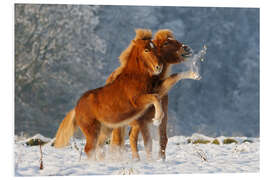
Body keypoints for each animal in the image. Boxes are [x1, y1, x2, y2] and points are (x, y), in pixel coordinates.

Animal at [53, 28, 165, 159]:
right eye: (146, 50)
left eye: (156, 48)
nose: (159, 67)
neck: (134, 78)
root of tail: (76, 108)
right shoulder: (137, 101)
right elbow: (155, 97)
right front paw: (157, 119)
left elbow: (158, 98)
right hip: (92, 130)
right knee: (89, 149)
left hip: (105, 130)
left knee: (98, 148)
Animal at [108, 29, 199, 160]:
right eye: (166, 43)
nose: (186, 48)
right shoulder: (142, 121)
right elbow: (148, 142)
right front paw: (151, 161)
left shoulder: (163, 118)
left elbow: (163, 139)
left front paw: (161, 160)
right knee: (120, 140)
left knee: (130, 138)